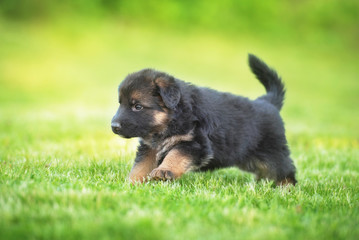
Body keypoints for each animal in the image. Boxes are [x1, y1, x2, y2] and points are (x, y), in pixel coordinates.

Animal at [112, 54, 298, 186]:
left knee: (286, 170)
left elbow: (175, 155)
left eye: (137, 106)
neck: (173, 118)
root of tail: (267, 102)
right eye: (120, 103)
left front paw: (164, 171)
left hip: (273, 154)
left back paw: (286, 189)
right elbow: (141, 166)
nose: (114, 126)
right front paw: (131, 184)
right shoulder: (151, 147)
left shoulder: (194, 143)